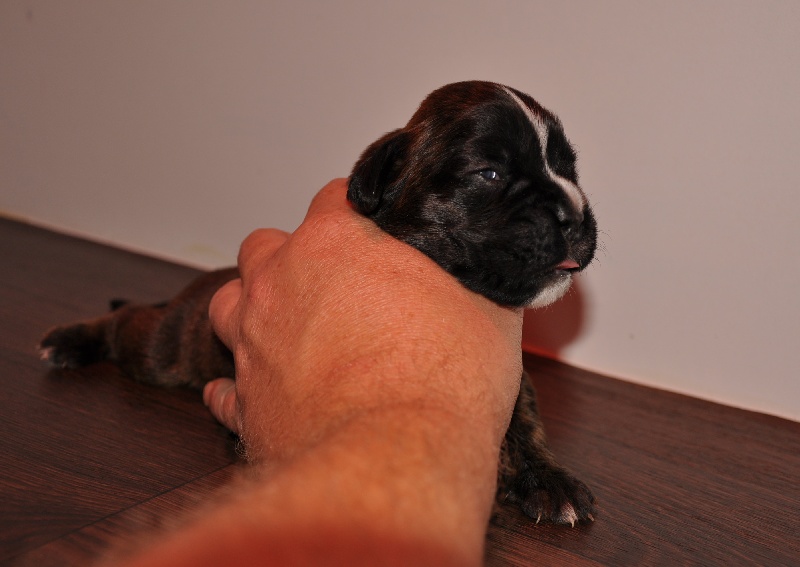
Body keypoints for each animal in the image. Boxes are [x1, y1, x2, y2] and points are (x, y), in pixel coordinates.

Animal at [40, 81, 598, 525]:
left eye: (569, 168)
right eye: (489, 174)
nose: (575, 213)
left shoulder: (512, 372)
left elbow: (523, 418)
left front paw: (547, 479)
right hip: (163, 350)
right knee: (127, 320)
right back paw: (70, 340)